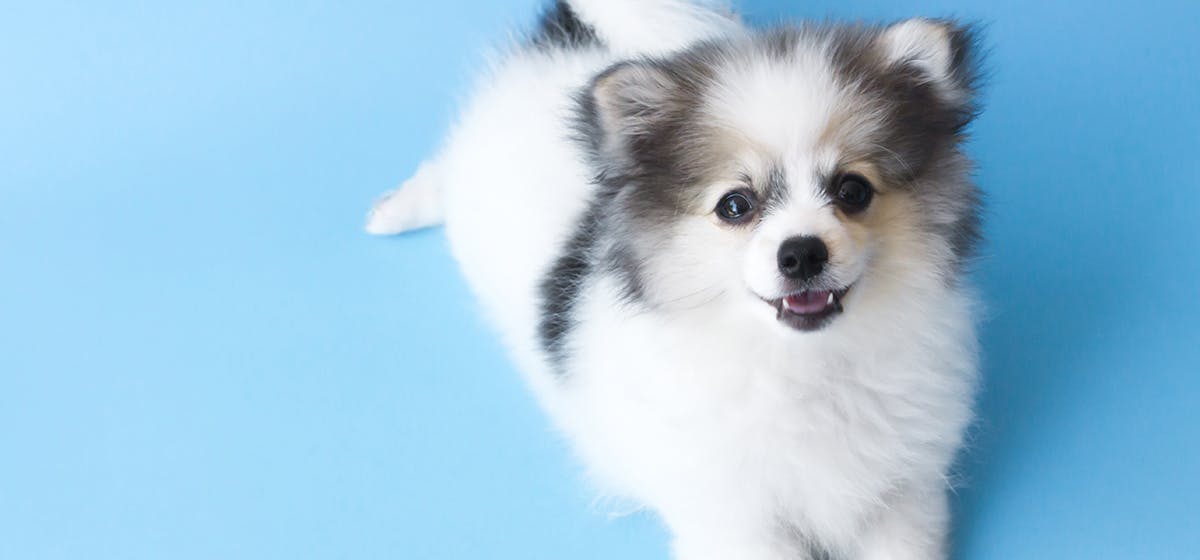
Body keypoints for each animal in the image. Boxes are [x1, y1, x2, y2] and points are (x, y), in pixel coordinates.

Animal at [367, 1, 984, 558]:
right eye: (735, 205)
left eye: (853, 191)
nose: (801, 253)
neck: (802, 366)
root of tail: (573, 37)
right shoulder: (736, 517)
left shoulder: (903, 494)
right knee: (441, 172)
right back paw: (394, 210)